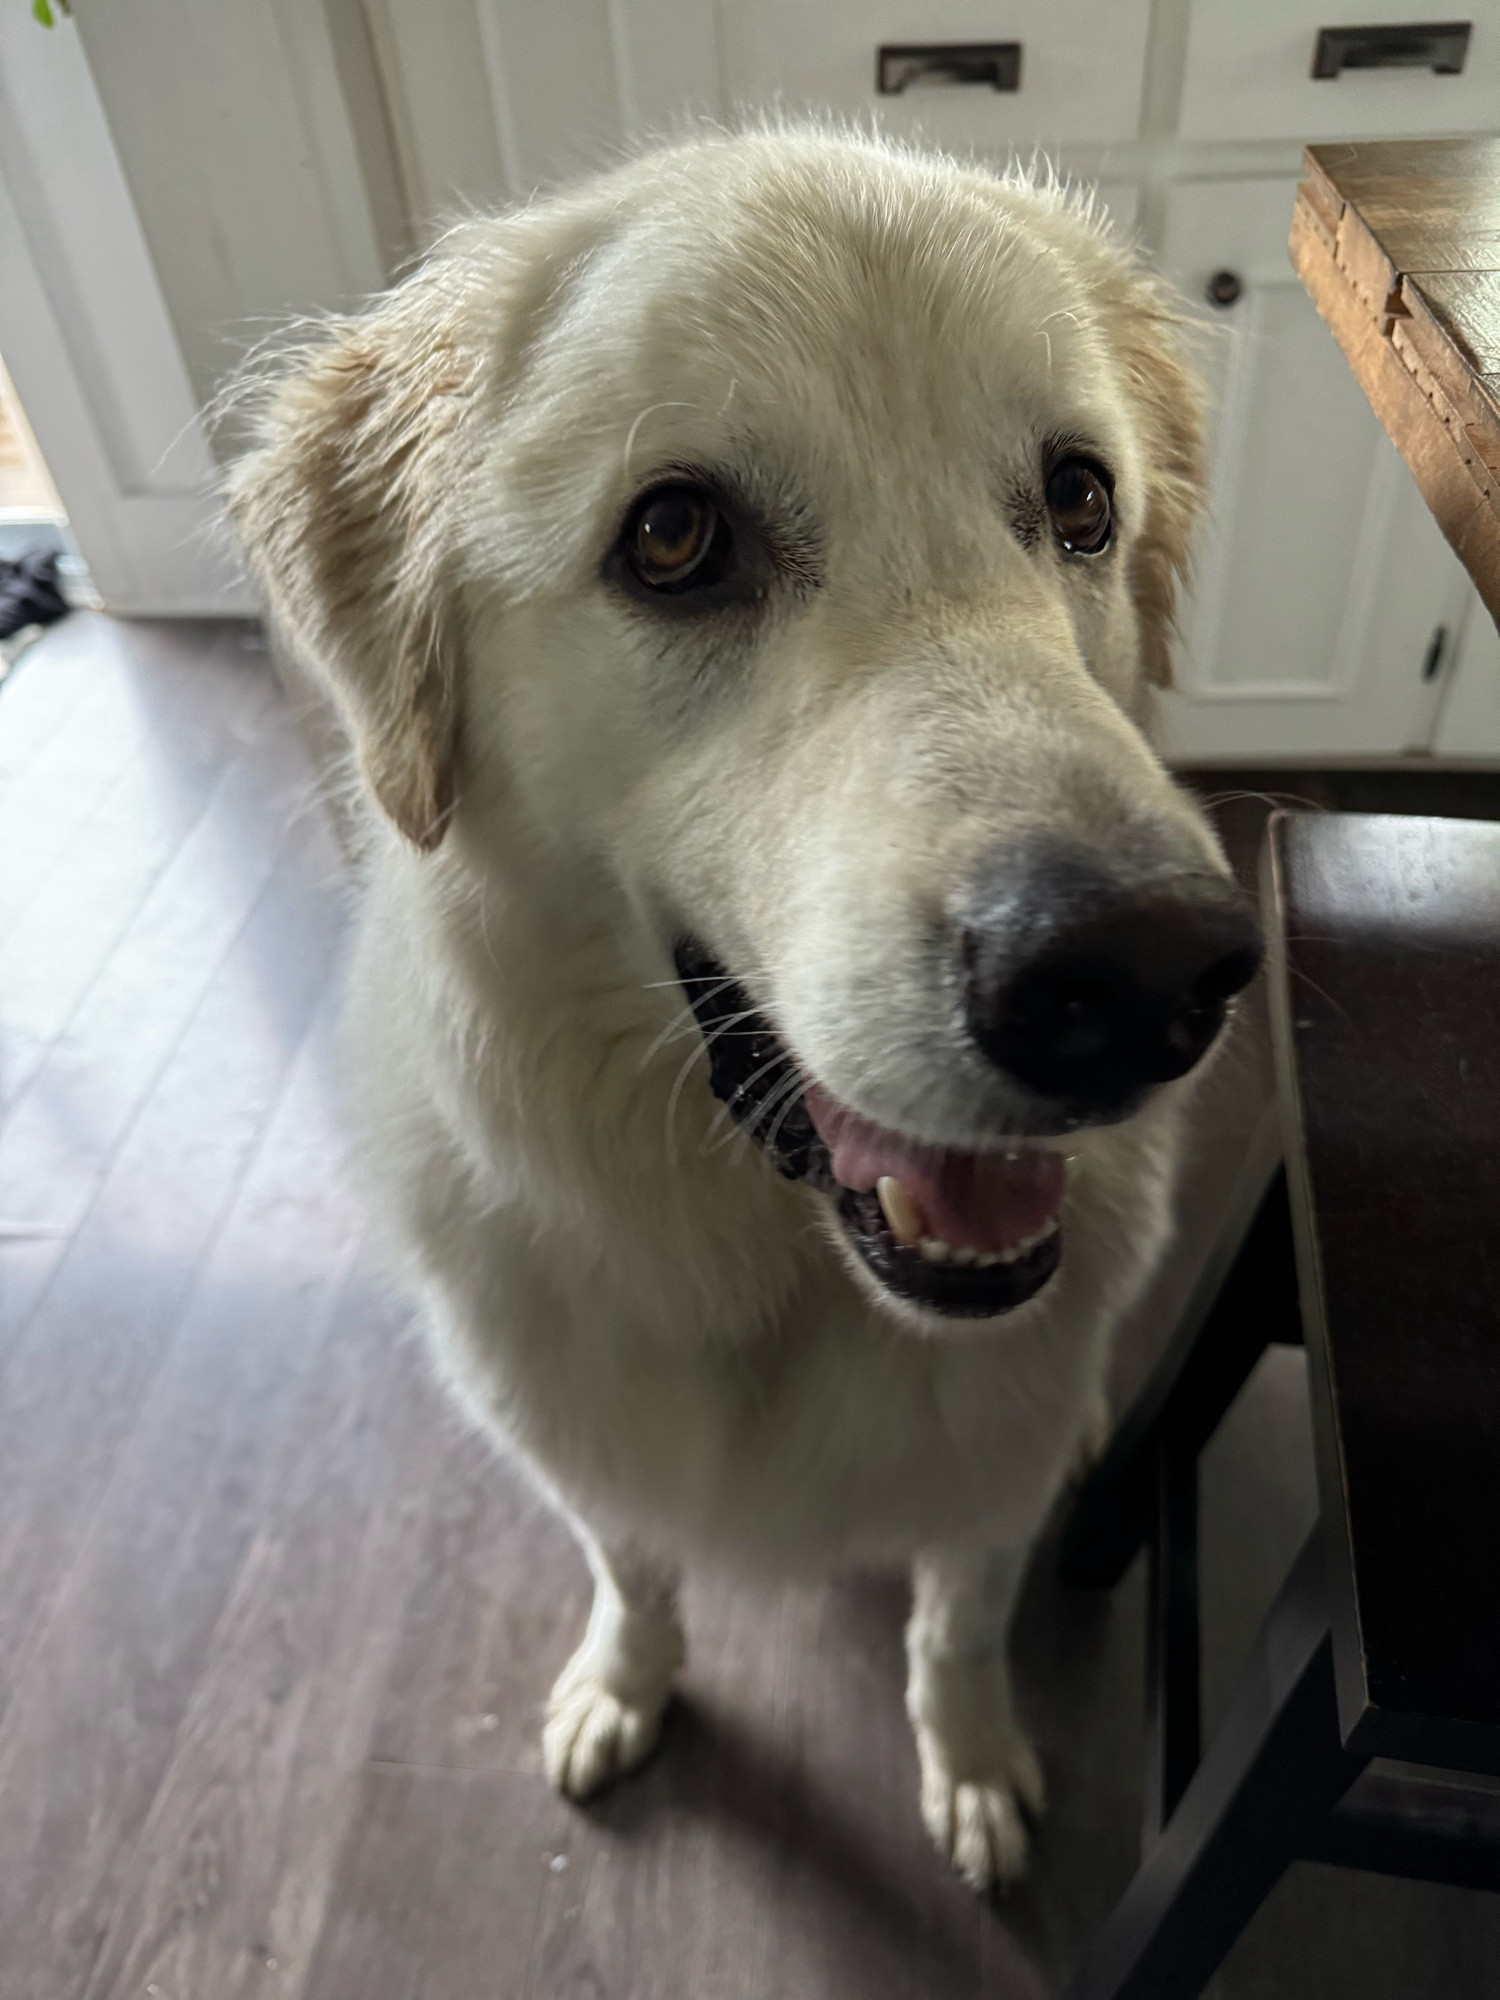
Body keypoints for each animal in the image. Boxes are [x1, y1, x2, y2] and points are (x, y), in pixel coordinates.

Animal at [232, 121, 1272, 1888]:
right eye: (673, 540)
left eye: (1079, 500)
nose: (1145, 979)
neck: (777, 1273)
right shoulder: (581, 1442)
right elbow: (633, 1567)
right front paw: (622, 1690)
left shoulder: (979, 1490)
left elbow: (955, 1629)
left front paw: (973, 1770)